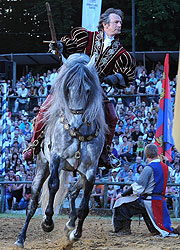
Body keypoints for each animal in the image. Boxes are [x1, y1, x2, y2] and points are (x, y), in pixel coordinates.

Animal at [14, 53, 107, 247]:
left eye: (88, 90)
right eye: (68, 89)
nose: (76, 122)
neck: (79, 134)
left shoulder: (90, 170)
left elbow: (85, 203)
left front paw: (75, 234)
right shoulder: (56, 158)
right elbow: (53, 185)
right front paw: (47, 222)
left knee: (73, 193)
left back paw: (70, 225)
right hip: (42, 165)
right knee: (32, 202)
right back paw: (21, 238)